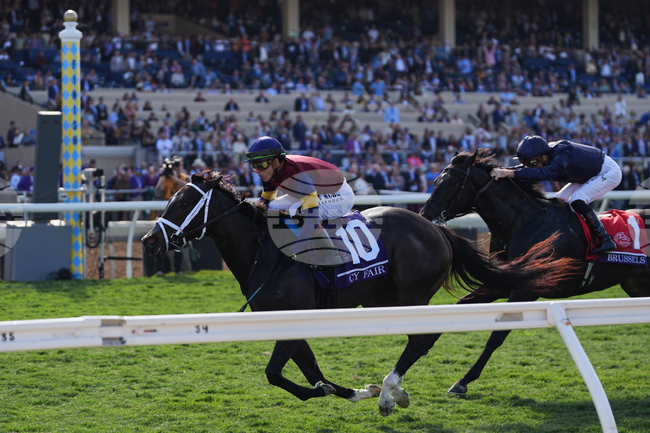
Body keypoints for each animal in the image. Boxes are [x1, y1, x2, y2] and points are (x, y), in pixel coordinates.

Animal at [141, 172, 578, 416]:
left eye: (184, 201)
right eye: (170, 196)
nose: (148, 242)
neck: (266, 253)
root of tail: (437, 228)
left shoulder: (293, 320)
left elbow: (276, 374)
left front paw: (351, 393)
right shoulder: (289, 324)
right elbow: (310, 371)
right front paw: (354, 392)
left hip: (411, 294)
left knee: (419, 340)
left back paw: (389, 393)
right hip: (386, 298)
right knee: (422, 339)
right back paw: (392, 390)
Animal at [420, 149, 650, 395]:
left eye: (453, 181)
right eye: (435, 180)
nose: (425, 214)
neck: (524, 222)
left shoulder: (526, 289)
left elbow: (497, 334)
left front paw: (463, 381)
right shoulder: (501, 281)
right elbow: (459, 307)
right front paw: (423, 344)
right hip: (636, 286)